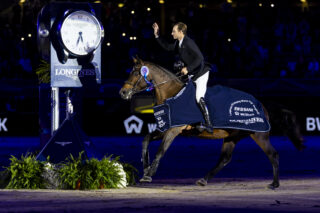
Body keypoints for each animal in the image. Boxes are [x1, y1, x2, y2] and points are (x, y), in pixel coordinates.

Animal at [119, 57, 304, 189]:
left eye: (136, 73)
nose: (123, 93)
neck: (172, 93)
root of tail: (262, 105)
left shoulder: (174, 130)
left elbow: (161, 150)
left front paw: (149, 173)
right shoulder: (165, 128)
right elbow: (145, 140)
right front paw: (145, 168)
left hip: (259, 135)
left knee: (273, 154)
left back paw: (274, 184)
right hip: (232, 136)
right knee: (225, 159)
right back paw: (203, 180)